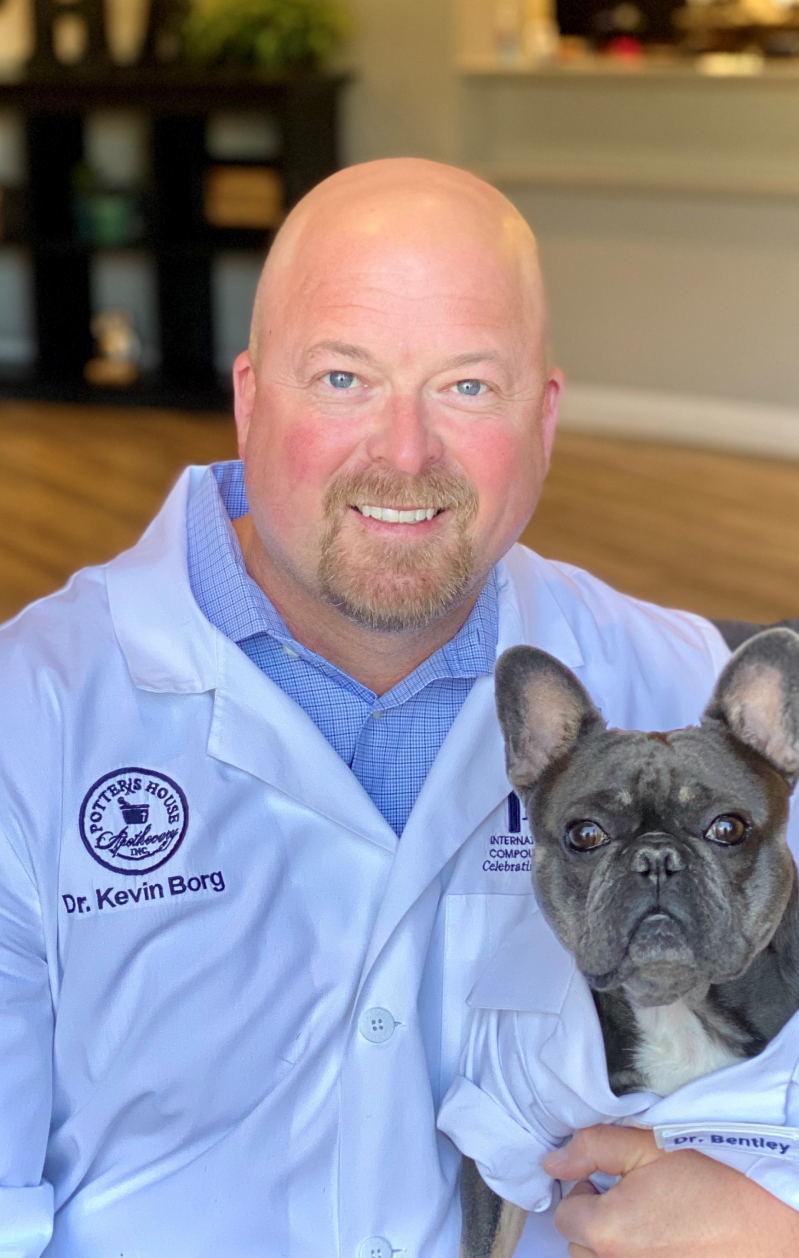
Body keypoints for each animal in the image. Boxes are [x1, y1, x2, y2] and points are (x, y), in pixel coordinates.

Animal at [455, 629, 799, 1258]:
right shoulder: (501, 1126)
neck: (676, 1007)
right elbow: (487, 1236)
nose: (656, 857)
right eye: (584, 834)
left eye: (728, 827)